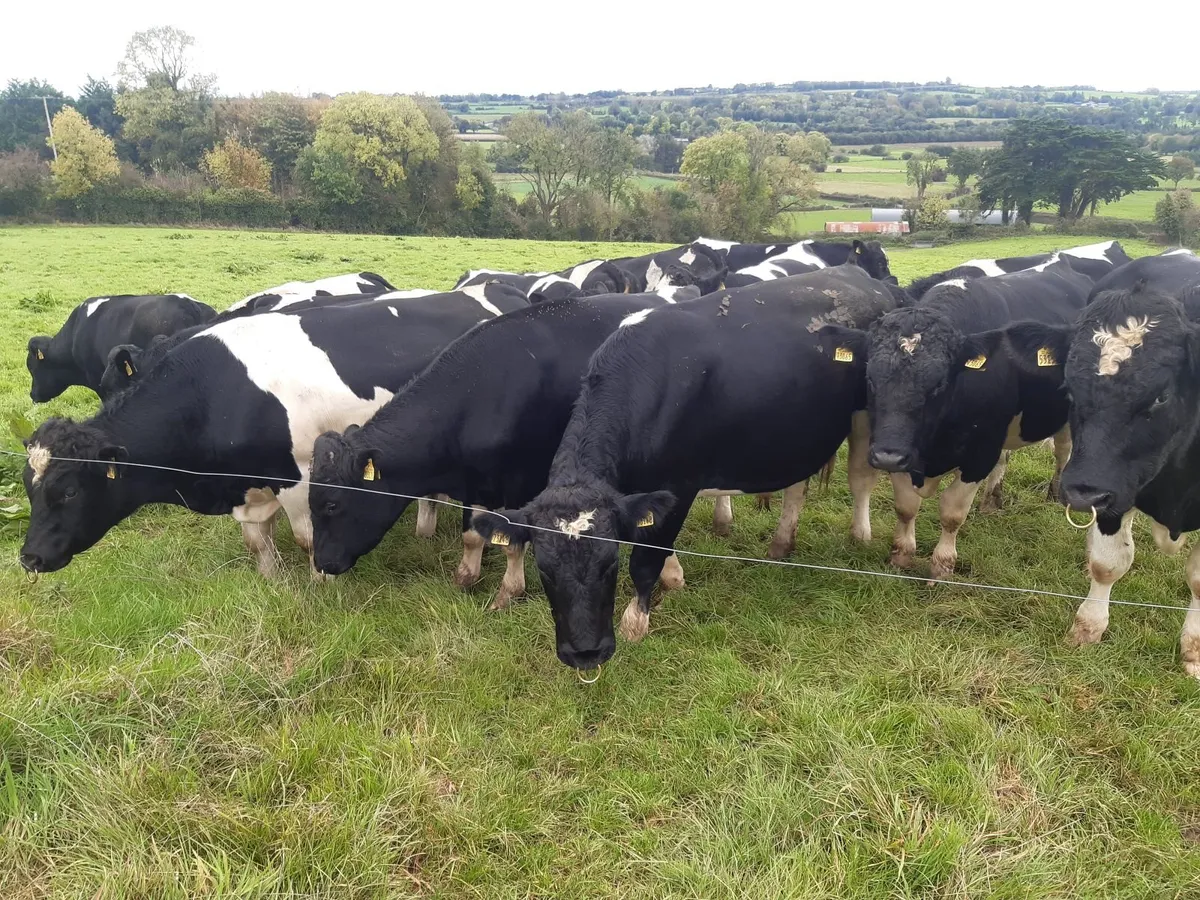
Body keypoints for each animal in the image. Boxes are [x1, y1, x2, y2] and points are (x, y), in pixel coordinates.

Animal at [309, 293, 688, 610]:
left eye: (332, 504)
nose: (322, 564)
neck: (477, 396)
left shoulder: (520, 479)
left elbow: (513, 541)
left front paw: (509, 592)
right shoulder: (475, 483)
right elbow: (472, 535)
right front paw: (465, 577)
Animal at [467, 266, 900, 670]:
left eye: (609, 564)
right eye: (544, 570)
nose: (585, 654)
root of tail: (859, 274)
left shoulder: (679, 484)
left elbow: (646, 561)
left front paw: (635, 624)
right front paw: (673, 580)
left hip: (868, 414)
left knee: (863, 478)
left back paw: (865, 537)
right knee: (798, 484)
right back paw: (781, 543)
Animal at [817, 260, 1095, 581]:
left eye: (938, 384)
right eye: (870, 379)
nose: (887, 457)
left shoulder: (979, 452)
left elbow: (952, 512)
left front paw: (942, 566)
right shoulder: (900, 447)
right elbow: (906, 506)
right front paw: (902, 555)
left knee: (1063, 450)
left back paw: (1055, 491)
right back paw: (991, 500)